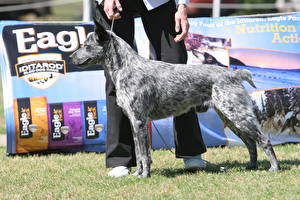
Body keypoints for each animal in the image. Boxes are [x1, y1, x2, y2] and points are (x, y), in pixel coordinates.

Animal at [69, 19, 280, 177]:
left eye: (86, 45)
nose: (71, 58)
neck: (126, 67)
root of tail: (234, 74)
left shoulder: (139, 121)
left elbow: (143, 154)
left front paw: (144, 175)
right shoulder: (134, 122)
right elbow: (139, 152)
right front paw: (137, 174)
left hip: (238, 115)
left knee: (264, 140)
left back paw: (274, 168)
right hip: (230, 117)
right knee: (251, 143)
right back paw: (251, 166)